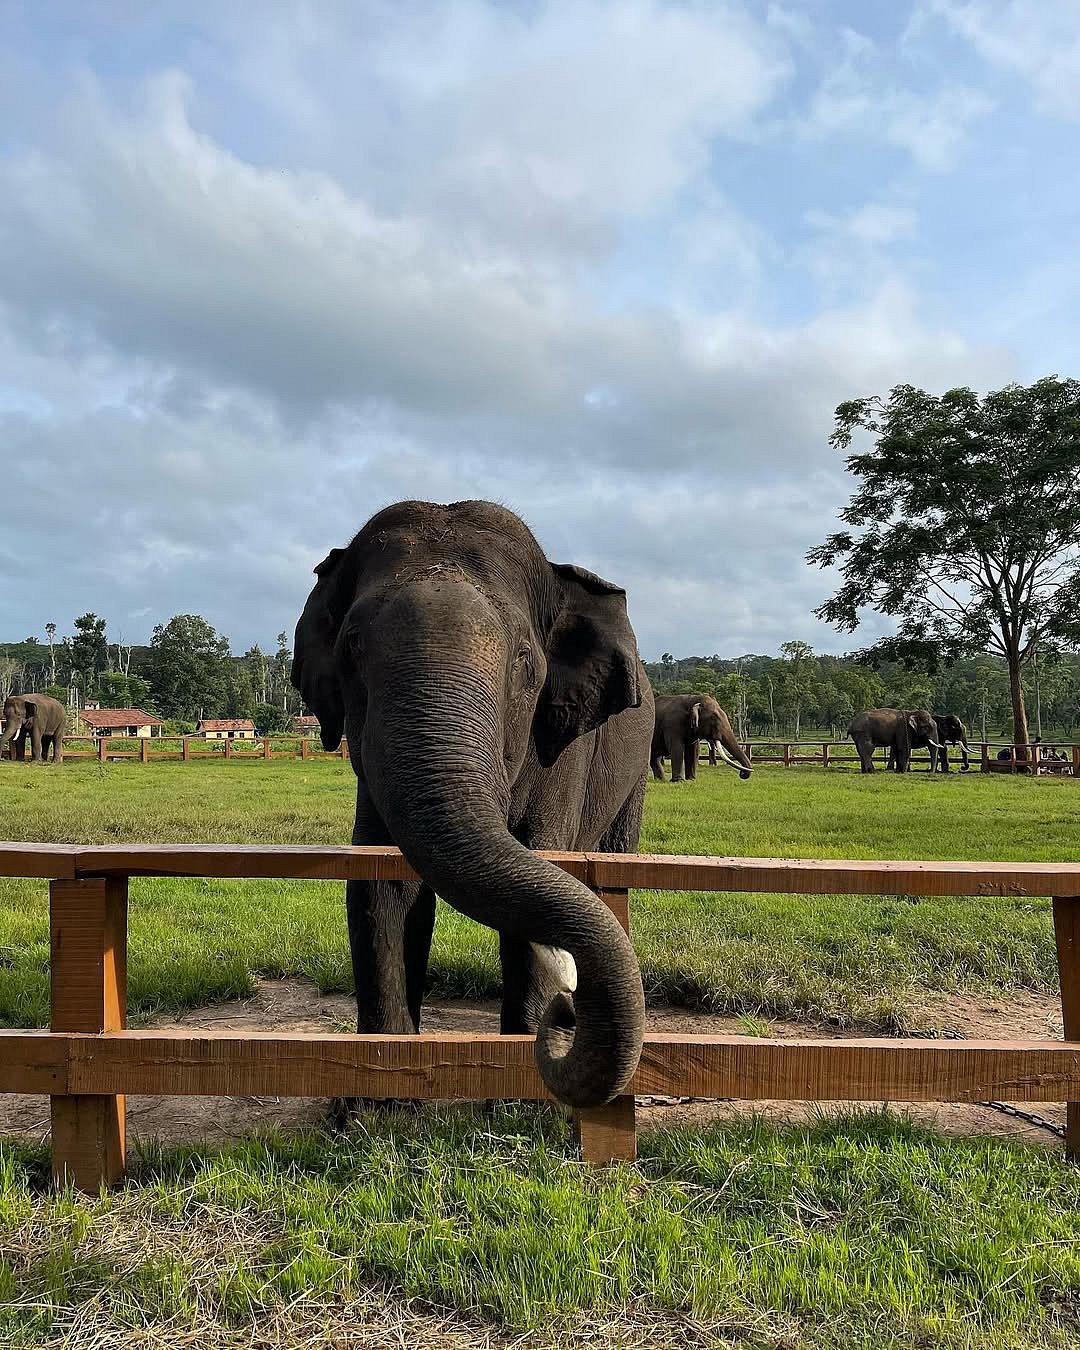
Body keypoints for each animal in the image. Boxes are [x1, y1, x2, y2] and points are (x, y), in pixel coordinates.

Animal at [291, 499, 653, 1110]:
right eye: (352, 646)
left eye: (525, 659)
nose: (568, 1010)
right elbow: (381, 890)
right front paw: (374, 1107)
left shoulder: (560, 750)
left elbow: (542, 873)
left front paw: (521, 1101)